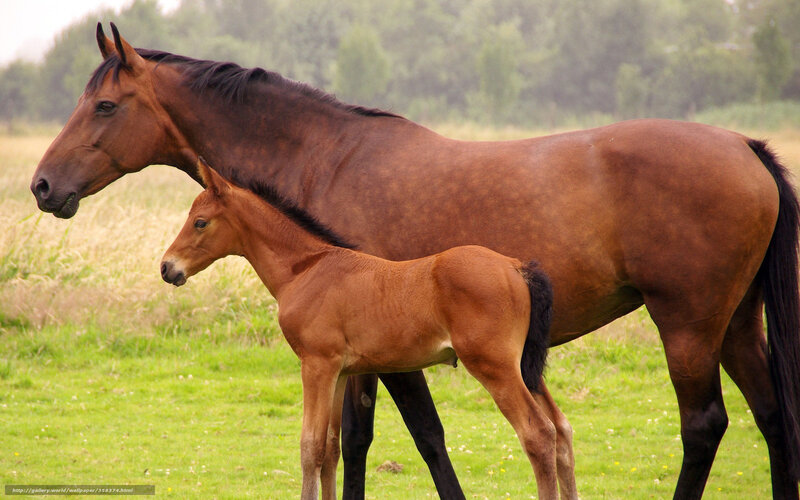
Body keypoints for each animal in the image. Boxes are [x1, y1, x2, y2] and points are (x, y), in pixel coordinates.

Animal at [161, 157, 559, 499]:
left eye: (200, 222)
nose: (167, 267)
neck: (306, 269)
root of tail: (516, 267)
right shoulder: (339, 372)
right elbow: (329, 448)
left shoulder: (316, 365)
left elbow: (309, 446)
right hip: (522, 368)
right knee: (558, 431)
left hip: (494, 367)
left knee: (538, 434)